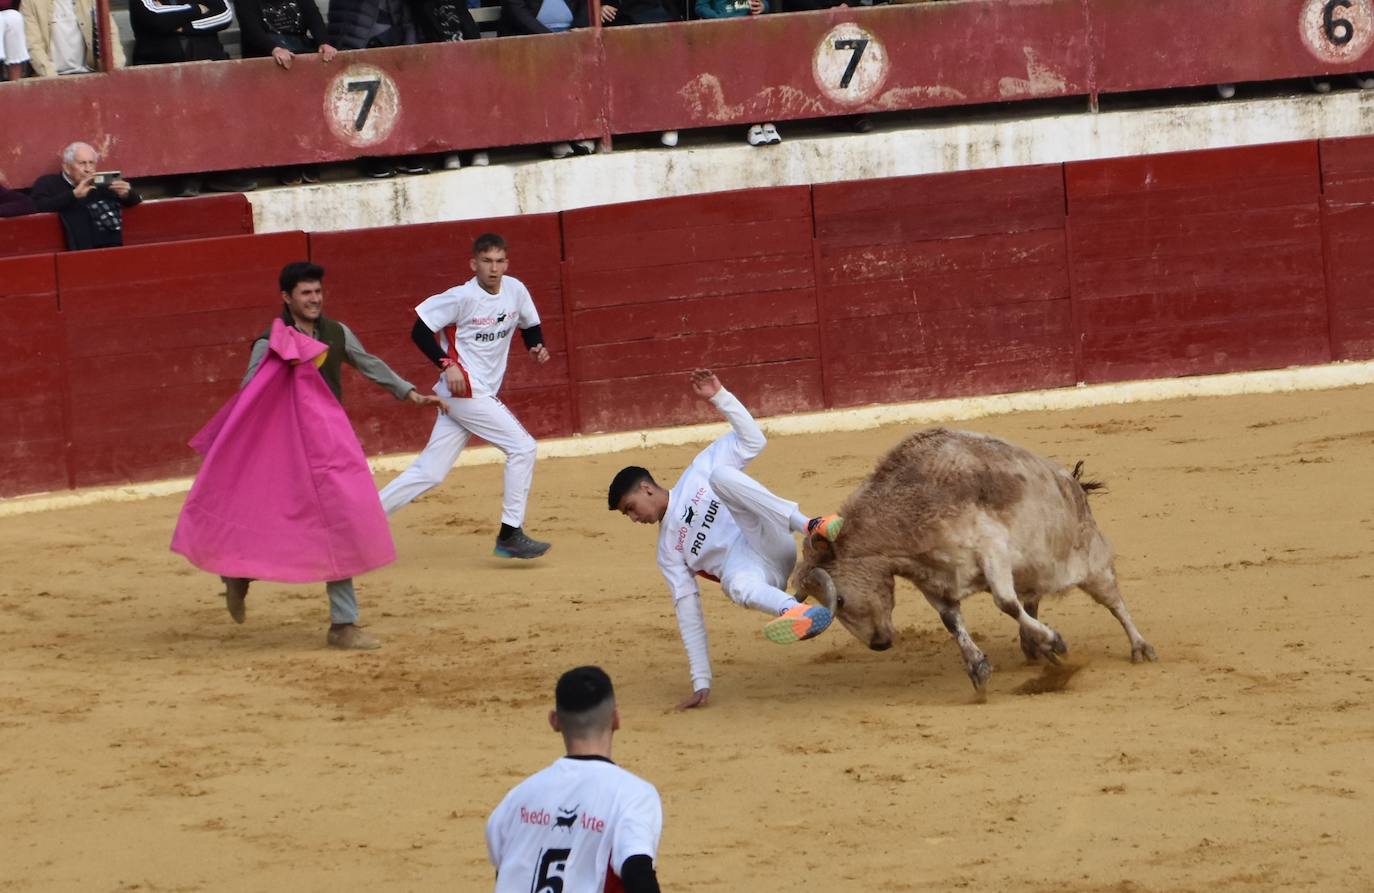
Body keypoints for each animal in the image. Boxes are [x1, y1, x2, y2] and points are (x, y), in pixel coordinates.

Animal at [796, 425, 1159, 689]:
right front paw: (978, 665)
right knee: (1032, 599)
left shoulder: (992, 551)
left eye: (839, 600)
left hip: (1092, 562)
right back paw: (1034, 646)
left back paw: (1139, 646)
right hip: (1032, 572)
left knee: (1114, 603)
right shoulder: (932, 580)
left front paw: (1054, 640)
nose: (879, 644)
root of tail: (1073, 483)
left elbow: (1006, 603)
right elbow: (951, 621)